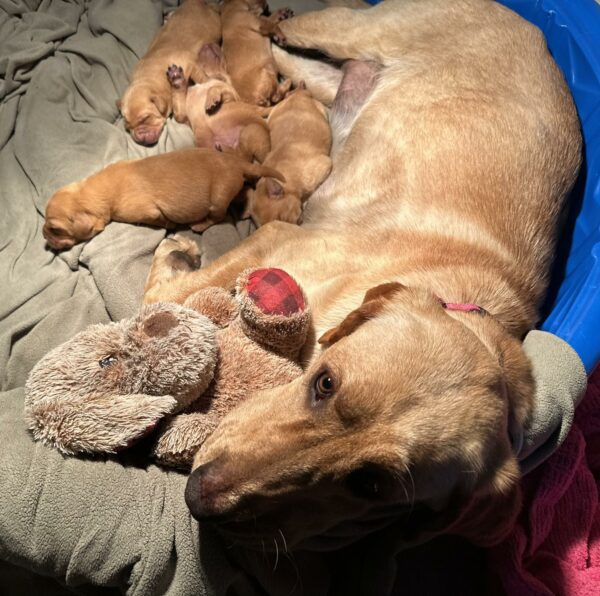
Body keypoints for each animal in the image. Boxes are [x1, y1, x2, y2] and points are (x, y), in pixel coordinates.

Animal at [44, 151, 284, 251]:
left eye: (55, 230)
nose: (44, 237)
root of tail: (237, 162)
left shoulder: (147, 212)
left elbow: (158, 220)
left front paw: (170, 225)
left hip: (218, 199)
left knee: (217, 217)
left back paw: (199, 225)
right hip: (234, 187)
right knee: (246, 191)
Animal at [117, 0, 220, 144]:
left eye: (146, 118)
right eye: (127, 126)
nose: (139, 138)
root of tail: (195, 2)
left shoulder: (191, 63)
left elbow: (202, 78)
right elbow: (179, 114)